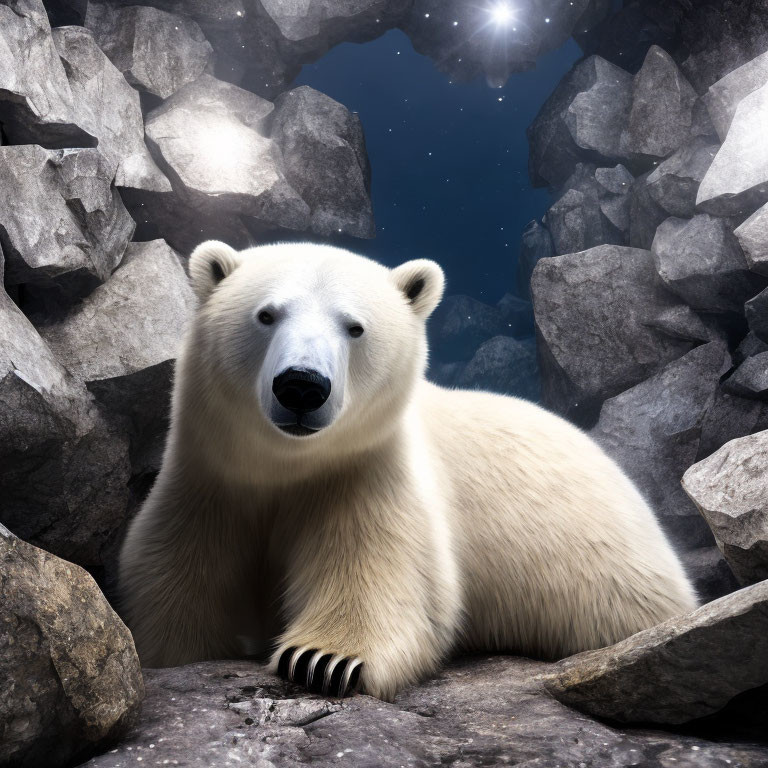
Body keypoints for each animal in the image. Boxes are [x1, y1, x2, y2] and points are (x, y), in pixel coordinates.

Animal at [118, 240, 696, 704]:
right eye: (266, 315)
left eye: (354, 327)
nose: (302, 385)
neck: (286, 465)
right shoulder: (208, 486)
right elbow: (177, 591)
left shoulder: (368, 477)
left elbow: (380, 574)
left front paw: (322, 662)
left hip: (612, 583)